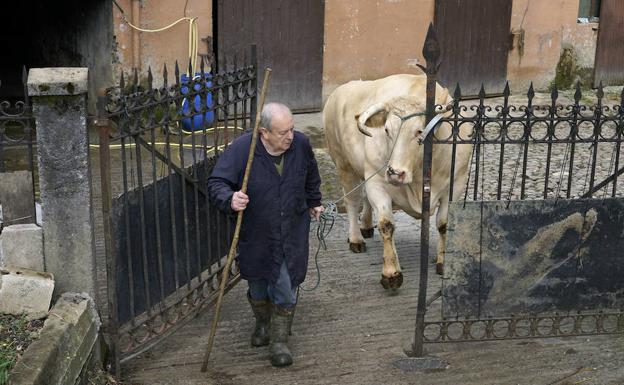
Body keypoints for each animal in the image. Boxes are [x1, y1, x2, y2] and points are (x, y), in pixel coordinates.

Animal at [322, 73, 472, 288]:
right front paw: (391, 273)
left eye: (419, 131)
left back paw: (366, 225)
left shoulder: (455, 185)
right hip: (344, 165)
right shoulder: (377, 183)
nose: (395, 172)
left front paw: (442, 262)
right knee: (352, 202)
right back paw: (356, 238)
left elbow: (443, 224)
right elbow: (386, 224)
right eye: (386, 130)